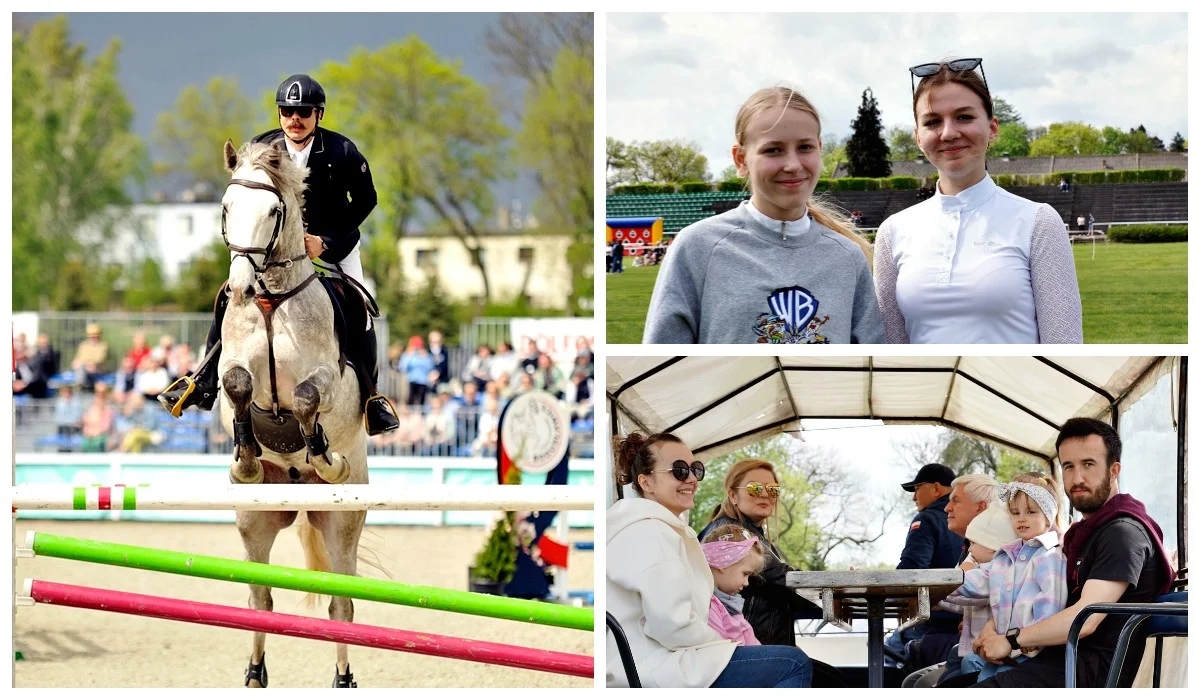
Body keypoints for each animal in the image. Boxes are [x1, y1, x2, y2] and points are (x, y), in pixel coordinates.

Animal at [216, 139, 364, 686]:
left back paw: (344, 678)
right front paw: (245, 458)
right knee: (260, 599)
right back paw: (255, 672)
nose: (239, 287)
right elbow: (238, 385)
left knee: (343, 606)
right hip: (254, 521)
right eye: (226, 208)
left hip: (342, 522)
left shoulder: (328, 378)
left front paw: (324, 455)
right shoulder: (233, 368)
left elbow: (304, 399)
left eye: (274, 211)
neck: (270, 300)